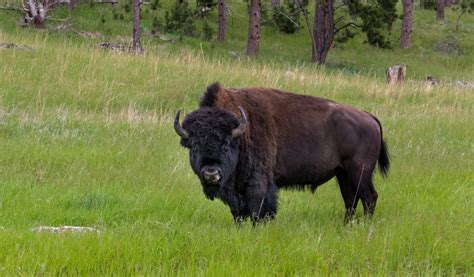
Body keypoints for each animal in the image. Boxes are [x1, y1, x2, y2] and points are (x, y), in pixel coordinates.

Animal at [174, 82, 388, 222]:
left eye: (226, 143)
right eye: (194, 146)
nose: (211, 173)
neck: (241, 133)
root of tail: (369, 117)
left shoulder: (258, 184)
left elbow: (259, 210)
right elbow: (238, 214)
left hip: (359, 172)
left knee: (369, 197)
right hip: (343, 173)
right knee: (351, 199)